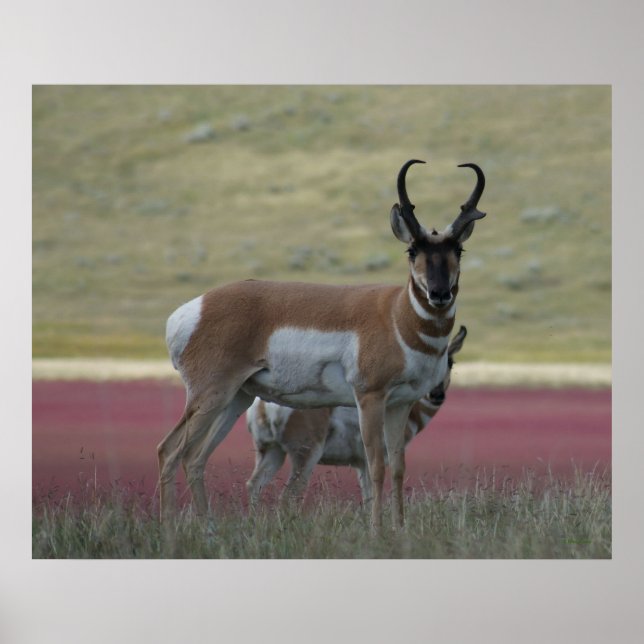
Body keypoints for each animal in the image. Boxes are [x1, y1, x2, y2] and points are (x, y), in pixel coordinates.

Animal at [246, 326, 467, 504]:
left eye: (451, 362)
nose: (436, 394)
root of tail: (263, 407)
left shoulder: (361, 464)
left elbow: (367, 499)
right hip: (306, 455)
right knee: (289, 495)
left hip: (272, 451)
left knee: (253, 485)